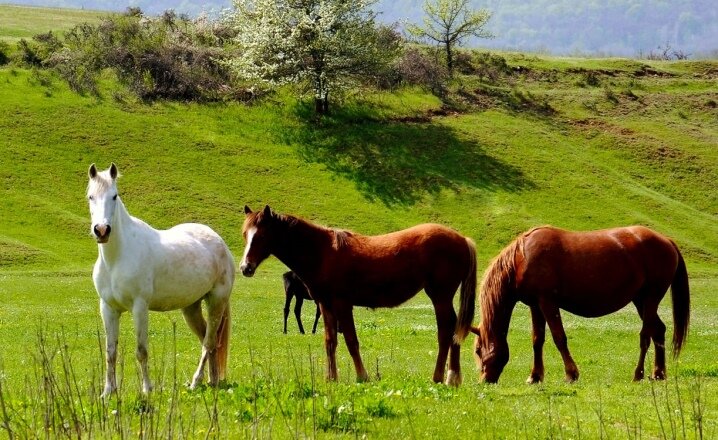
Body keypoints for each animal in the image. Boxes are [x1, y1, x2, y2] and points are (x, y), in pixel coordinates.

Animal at [88, 163, 236, 398]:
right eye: (90, 196)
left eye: (114, 196)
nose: (102, 230)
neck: (117, 257)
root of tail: (220, 243)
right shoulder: (108, 308)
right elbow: (111, 352)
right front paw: (108, 392)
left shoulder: (139, 307)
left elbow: (141, 351)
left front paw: (147, 389)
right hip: (191, 308)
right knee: (208, 338)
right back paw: (212, 381)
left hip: (216, 302)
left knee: (209, 341)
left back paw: (196, 382)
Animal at [240, 205, 478, 384]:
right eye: (245, 234)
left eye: (261, 235)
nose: (245, 267)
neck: (321, 252)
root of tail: (462, 238)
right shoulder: (325, 305)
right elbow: (330, 341)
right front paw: (331, 378)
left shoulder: (342, 304)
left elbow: (351, 341)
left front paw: (362, 376)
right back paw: (452, 377)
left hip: (440, 296)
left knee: (446, 331)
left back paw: (443, 377)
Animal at [472, 225, 692, 384]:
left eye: (477, 350)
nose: (484, 380)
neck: (522, 258)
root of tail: (667, 241)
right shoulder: (536, 305)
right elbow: (537, 340)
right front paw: (535, 376)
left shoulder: (547, 302)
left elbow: (559, 338)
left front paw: (571, 374)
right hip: (641, 300)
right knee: (658, 330)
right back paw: (658, 373)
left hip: (651, 298)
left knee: (645, 336)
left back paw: (638, 374)